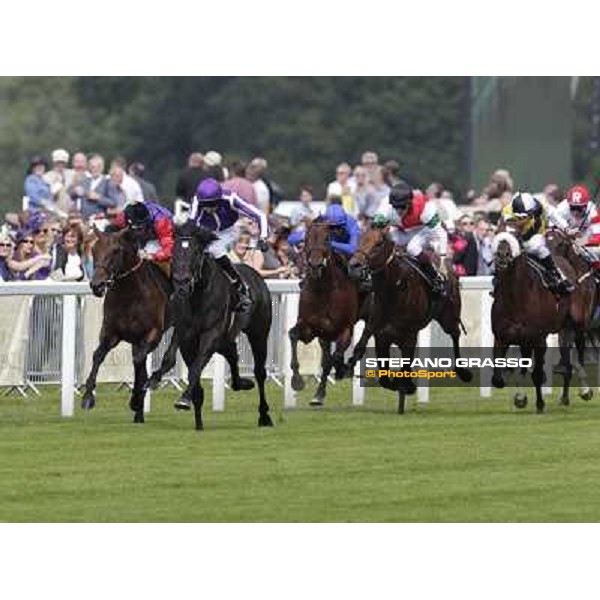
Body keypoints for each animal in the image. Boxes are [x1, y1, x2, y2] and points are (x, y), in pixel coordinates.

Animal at [82, 227, 171, 424]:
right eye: (94, 250)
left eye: (116, 251)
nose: (97, 285)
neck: (130, 295)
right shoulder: (110, 332)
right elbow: (97, 356)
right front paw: (87, 397)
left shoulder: (153, 333)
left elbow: (138, 363)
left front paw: (136, 400)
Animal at [168, 221, 274, 432]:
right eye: (174, 252)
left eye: (194, 253)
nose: (181, 283)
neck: (198, 296)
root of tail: (256, 274)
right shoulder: (187, 338)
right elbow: (194, 372)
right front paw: (198, 422)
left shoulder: (211, 335)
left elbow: (195, 369)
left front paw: (183, 400)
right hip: (226, 339)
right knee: (233, 356)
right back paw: (242, 383)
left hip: (258, 333)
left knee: (260, 372)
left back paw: (264, 415)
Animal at [288, 218, 368, 406]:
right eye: (306, 239)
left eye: (327, 239)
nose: (315, 265)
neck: (323, 290)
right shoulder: (310, 327)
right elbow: (293, 335)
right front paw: (297, 380)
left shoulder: (345, 329)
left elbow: (335, 356)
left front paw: (342, 369)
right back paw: (319, 394)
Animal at [346, 225, 474, 412]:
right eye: (360, 239)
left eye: (378, 244)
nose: (354, 266)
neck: (394, 291)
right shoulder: (381, 337)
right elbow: (384, 378)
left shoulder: (409, 337)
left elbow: (404, 369)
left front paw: (408, 385)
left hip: (448, 316)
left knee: (455, 334)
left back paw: (463, 372)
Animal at [488, 231, 572, 412]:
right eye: (497, 236)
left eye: (516, 238)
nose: (502, 255)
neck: (516, 299)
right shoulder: (501, 337)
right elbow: (497, 379)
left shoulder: (539, 339)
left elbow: (538, 374)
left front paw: (540, 404)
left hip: (569, 326)